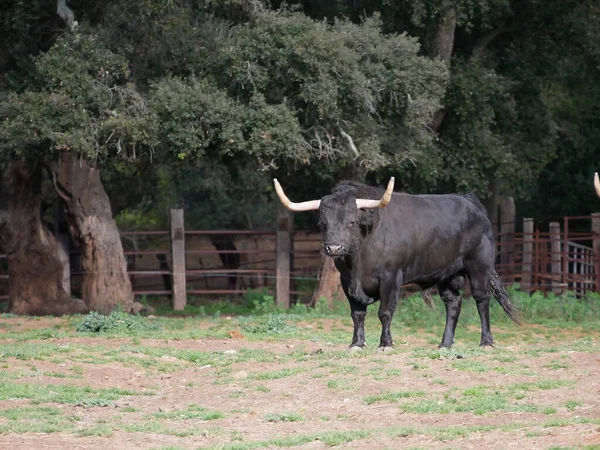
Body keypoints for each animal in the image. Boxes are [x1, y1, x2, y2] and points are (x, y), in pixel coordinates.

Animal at [274, 178, 516, 350]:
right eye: (323, 222)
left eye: (351, 222)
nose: (333, 248)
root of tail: (471, 203)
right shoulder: (346, 281)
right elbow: (357, 314)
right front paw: (356, 344)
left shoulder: (391, 278)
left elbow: (385, 312)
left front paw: (385, 344)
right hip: (447, 274)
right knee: (453, 303)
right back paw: (445, 344)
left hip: (479, 266)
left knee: (482, 300)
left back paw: (486, 342)